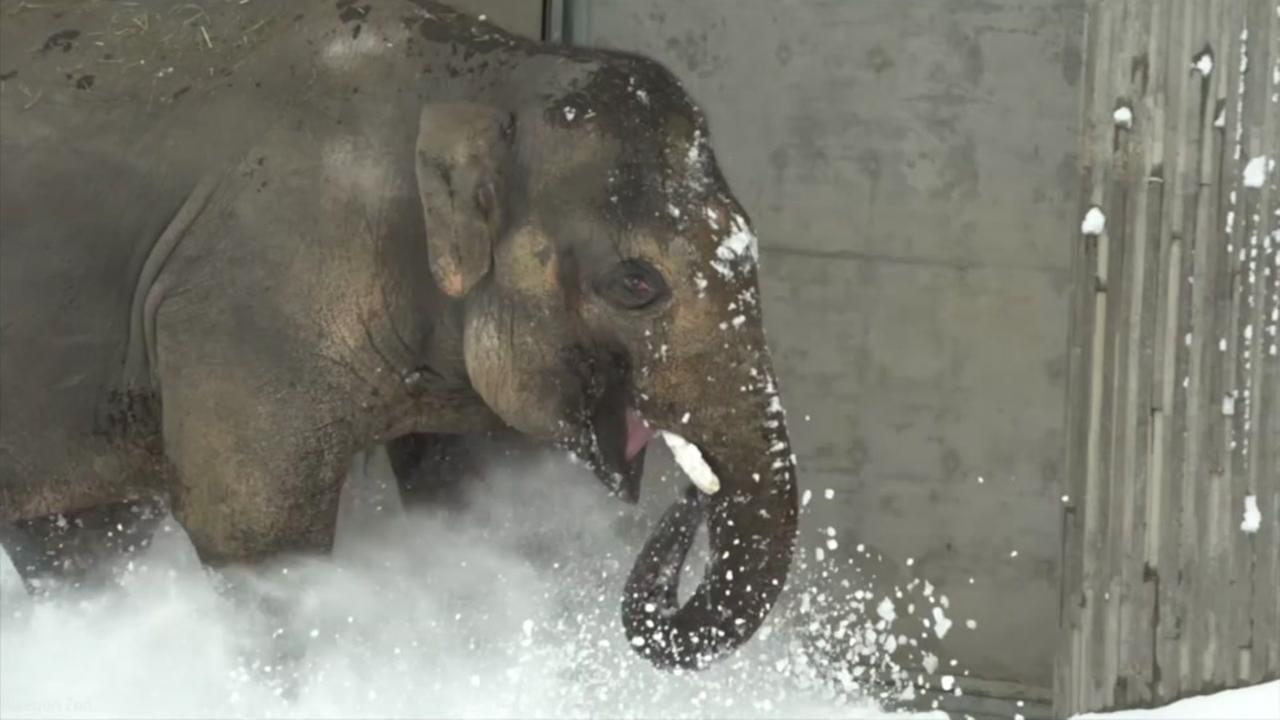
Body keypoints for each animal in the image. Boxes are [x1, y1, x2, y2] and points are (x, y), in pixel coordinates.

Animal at [0, 0, 799, 670]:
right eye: (636, 284)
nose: (693, 488)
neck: (486, 78)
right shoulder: (246, 302)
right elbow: (257, 538)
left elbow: (467, 502)